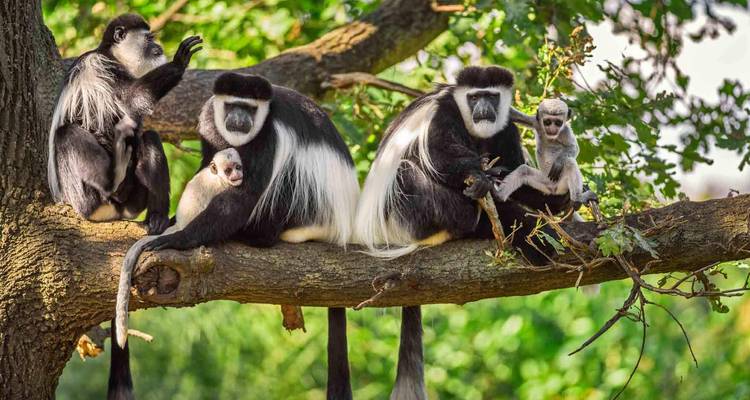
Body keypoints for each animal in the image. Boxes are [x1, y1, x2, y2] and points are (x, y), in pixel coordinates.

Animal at [47, 13, 202, 235]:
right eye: (149, 38)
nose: (159, 47)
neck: (113, 55)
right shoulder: (102, 66)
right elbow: (132, 98)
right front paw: (179, 61)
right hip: (81, 194)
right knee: (67, 133)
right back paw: (110, 186)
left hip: (133, 201)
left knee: (150, 138)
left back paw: (156, 219)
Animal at [354, 66, 574, 399]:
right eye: (473, 97)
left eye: (491, 96)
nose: (482, 109)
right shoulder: (443, 114)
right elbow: (440, 156)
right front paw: (481, 177)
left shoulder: (505, 127)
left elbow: (514, 169)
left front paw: (552, 196)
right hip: (407, 214)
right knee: (408, 171)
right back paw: (479, 216)